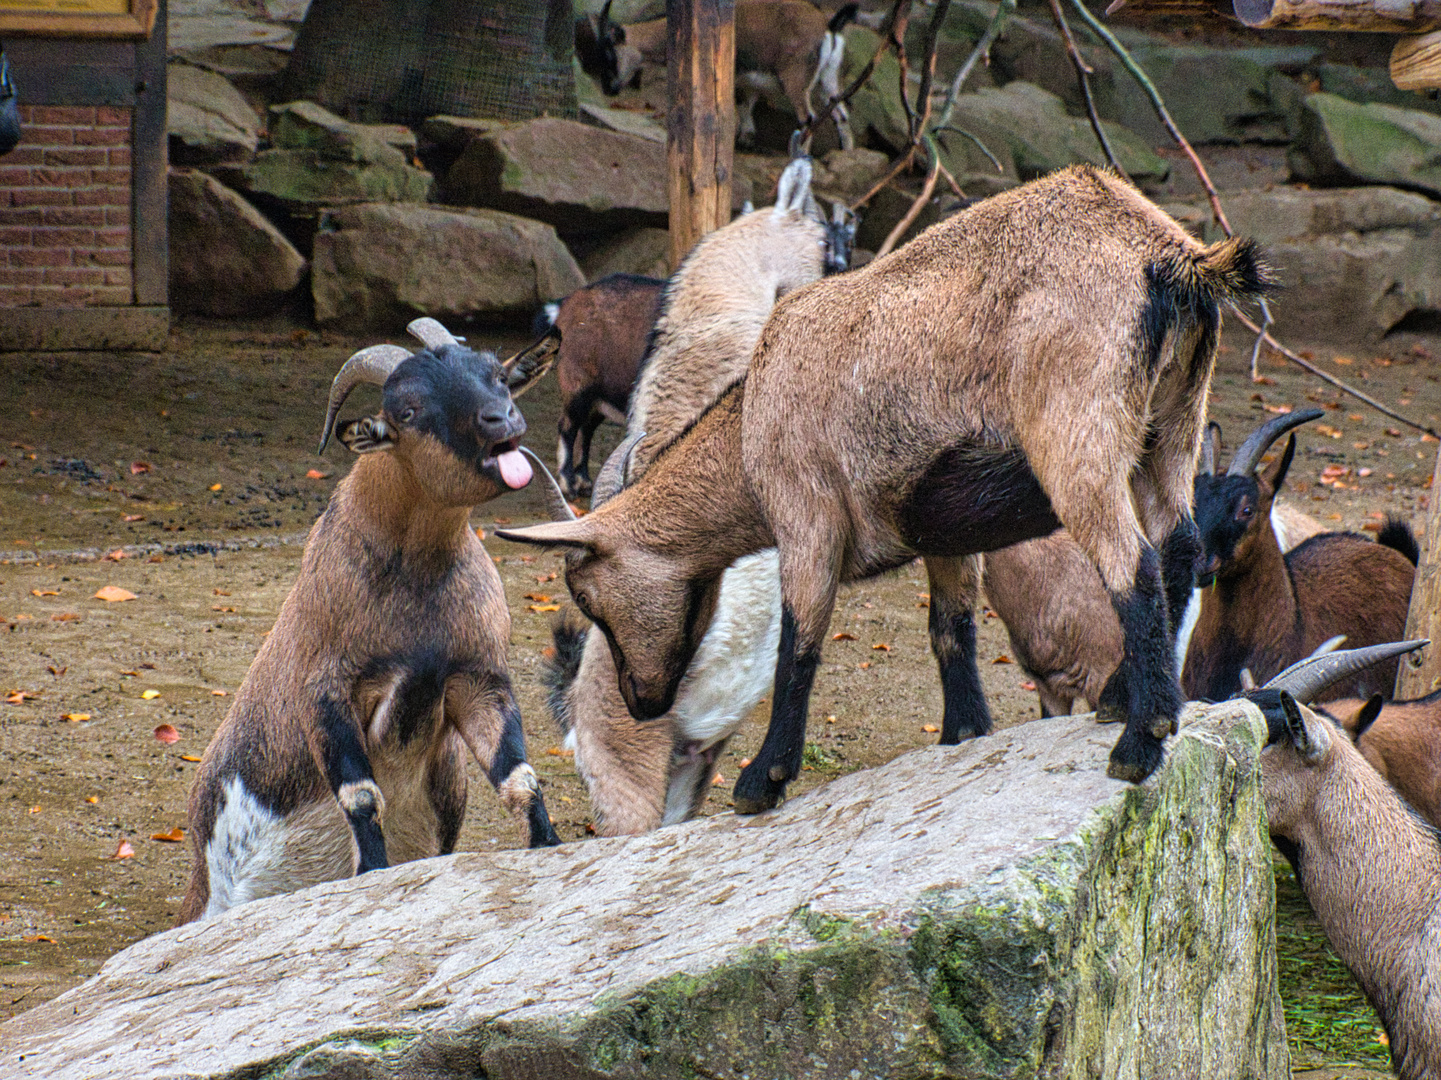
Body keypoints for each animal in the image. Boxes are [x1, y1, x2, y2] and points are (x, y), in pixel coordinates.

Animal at [175, 315, 561, 922]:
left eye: (497, 376)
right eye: (407, 410)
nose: (502, 420)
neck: (416, 585)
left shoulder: (478, 679)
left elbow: (518, 778)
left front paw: (549, 845)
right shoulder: (327, 689)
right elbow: (360, 795)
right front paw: (373, 874)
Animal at [501, 164, 1268, 807]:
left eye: (585, 596)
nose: (641, 703)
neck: (748, 424)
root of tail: (1170, 258)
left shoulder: (804, 516)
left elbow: (799, 641)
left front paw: (761, 780)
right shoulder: (947, 530)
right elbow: (950, 628)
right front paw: (964, 733)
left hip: (1077, 436)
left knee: (1131, 564)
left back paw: (1141, 740)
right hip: (1169, 428)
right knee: (1177, 549)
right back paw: (1120, 699)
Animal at [579, 0, 858, 151]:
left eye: (609, 54)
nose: (609, 88)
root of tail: (828, 27)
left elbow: (736, 105)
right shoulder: (749, 80)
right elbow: (746, 104)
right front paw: (746, 139)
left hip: (795, 79)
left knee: (808, 118)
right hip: (828, 80)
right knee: (841, 114)